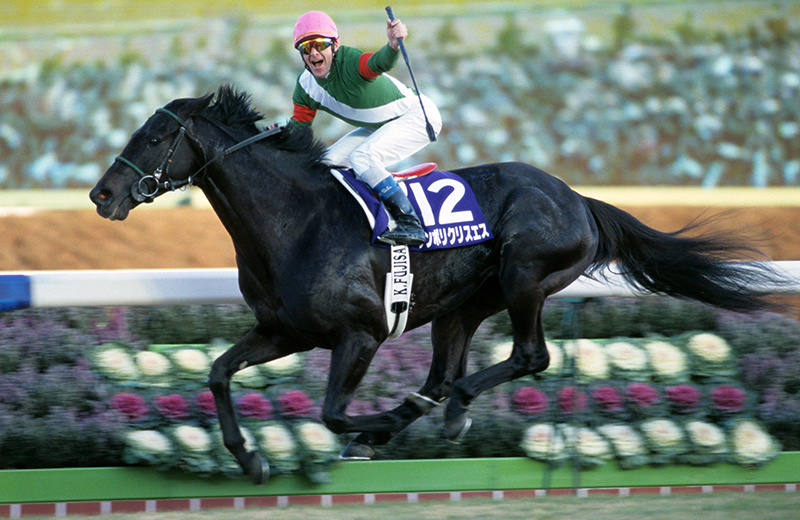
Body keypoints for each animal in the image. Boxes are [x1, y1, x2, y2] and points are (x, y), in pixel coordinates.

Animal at [90, 85, 783, 484]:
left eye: (156, 136)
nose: (101, 194)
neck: (296, 220)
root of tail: (578, 199)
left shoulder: (361, 334)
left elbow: (332, 412)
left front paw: (363, 427)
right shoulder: (285, 331)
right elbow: (217, 372)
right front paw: (250, 457)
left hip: (524, 273)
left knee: (527, 356)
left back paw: (441, 415)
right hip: (461, 307)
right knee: (444, 374)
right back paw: (420, 413)